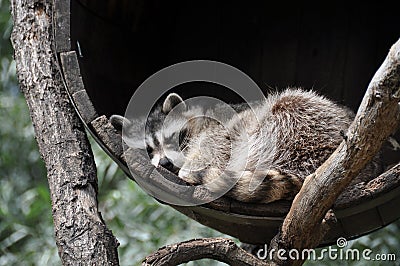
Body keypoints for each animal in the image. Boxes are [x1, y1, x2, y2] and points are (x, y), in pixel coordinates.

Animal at [110, 89, 382, 204]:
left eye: (173, 139)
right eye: (148, 150)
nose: (166, 163)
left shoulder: (219, 123)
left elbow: (217, 140)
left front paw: (190, 165)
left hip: (298, 125)